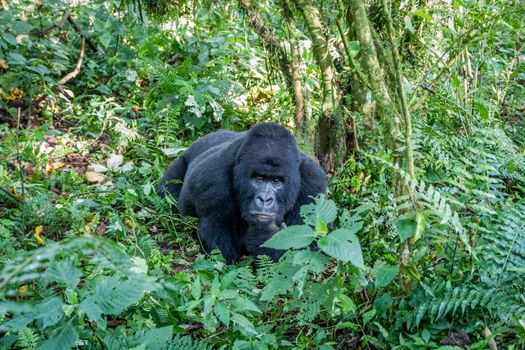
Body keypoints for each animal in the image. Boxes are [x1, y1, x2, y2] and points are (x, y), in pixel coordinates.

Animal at [158, 123, 326, 262]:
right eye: (258, 178)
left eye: (276, 181)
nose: (265, 199)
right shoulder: (213, 178)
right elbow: (216, 241)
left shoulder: (313, 182)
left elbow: (309, 247)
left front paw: (264, 236)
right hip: (182, 158)